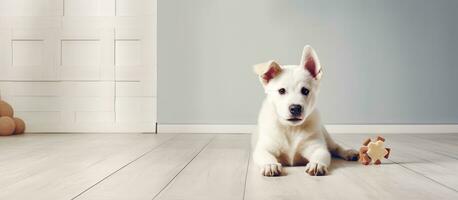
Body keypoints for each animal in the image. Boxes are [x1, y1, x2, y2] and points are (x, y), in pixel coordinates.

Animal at [252, 45, 360, 177]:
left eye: (305, 91)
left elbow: (322, 154)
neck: (291, 129)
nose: (295, 108)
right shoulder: (264, 148)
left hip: (326, 137)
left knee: (336, 147)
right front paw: (270, 164)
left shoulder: (317, 147)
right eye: (281, 91)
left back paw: (349, 152)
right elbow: (265, 155)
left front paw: (316, 164)